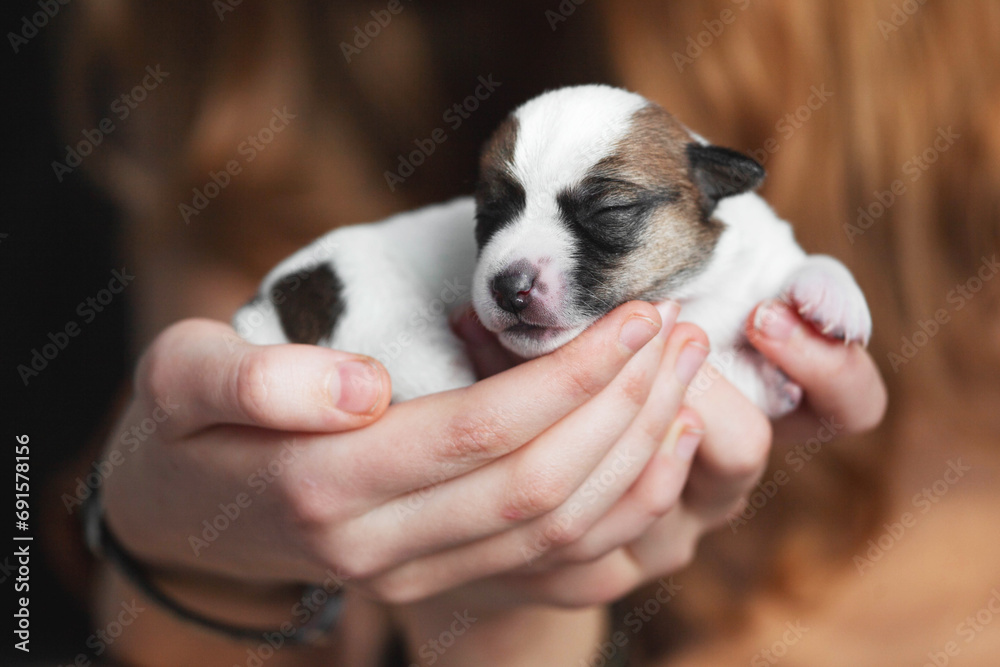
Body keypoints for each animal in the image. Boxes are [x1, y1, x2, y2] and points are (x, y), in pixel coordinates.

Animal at [232, 86, 868, 414]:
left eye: (609, 212)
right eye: (488, 214)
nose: (507, 287)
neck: (693, 288)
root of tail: (271, 302)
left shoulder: (759, 253)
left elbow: (809, 260)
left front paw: (836, 300)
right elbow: (714, 372)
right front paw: (766, 380)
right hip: (399, 342)